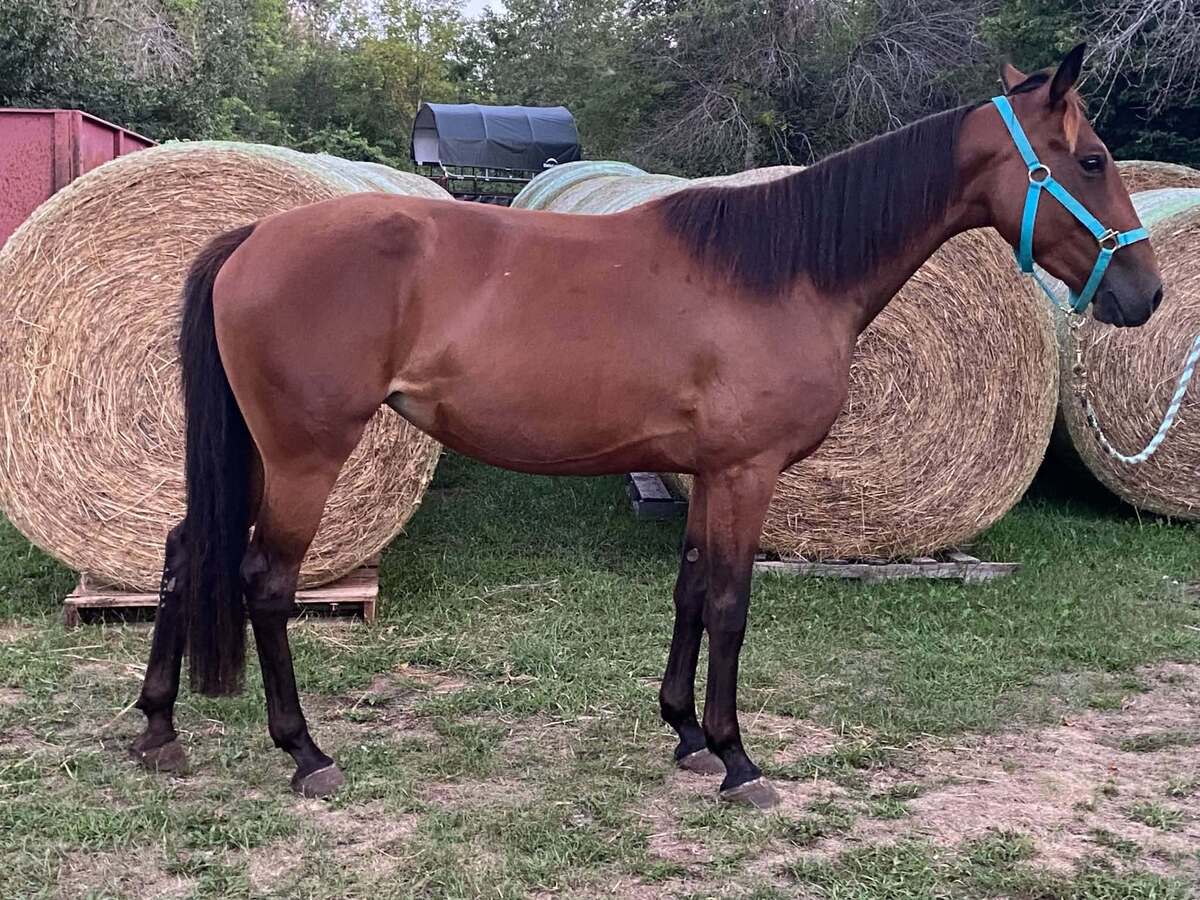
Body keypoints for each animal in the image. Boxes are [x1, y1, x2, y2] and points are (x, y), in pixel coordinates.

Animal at [129, 45, 1162, 808]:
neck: (784, 271)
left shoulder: (708, 474)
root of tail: (256, 237)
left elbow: (691, 591)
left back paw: (158, 730)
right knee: (265, 582)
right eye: (1093, 161)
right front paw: (739, 760)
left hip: (257, 454)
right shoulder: (747, 473)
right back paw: (305, 753)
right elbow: (732, 604)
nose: (1146, 293)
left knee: (184, 550)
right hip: (305, 455)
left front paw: (687, 735)